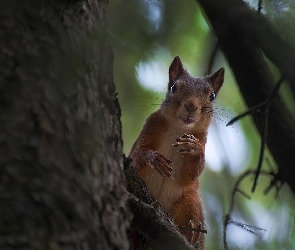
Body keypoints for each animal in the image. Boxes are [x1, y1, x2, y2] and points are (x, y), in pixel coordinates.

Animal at [130, 56, 224, 248]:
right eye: (174, 87)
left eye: (211, 96)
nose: (191, 106)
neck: (179, 128)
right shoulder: (151, 126)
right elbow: (137, 156)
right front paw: (154, 158)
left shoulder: (202, 139)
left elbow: (190, 175)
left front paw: (194, 149)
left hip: (190, 199)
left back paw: (191, 231)